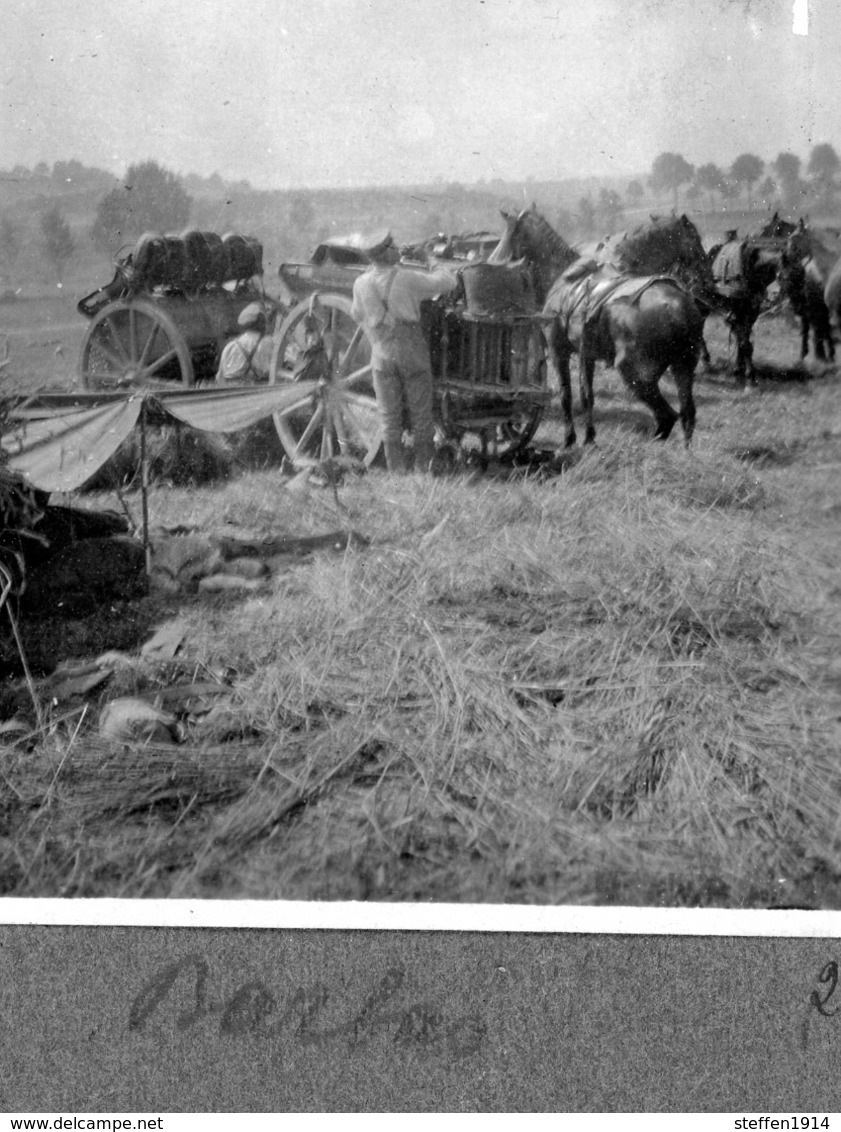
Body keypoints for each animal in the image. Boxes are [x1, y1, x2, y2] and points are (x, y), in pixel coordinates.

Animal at [502, 206, 706, 443]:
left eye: (509, 235)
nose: (704, 277)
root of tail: (679, 308)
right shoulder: (586, 355)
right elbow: (587, 396)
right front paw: (589, 437)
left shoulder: (558, 351)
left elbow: (567, 395)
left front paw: (570, 439)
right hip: (682, 367)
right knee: (686, 414)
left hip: (636, 373)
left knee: (668, 415)